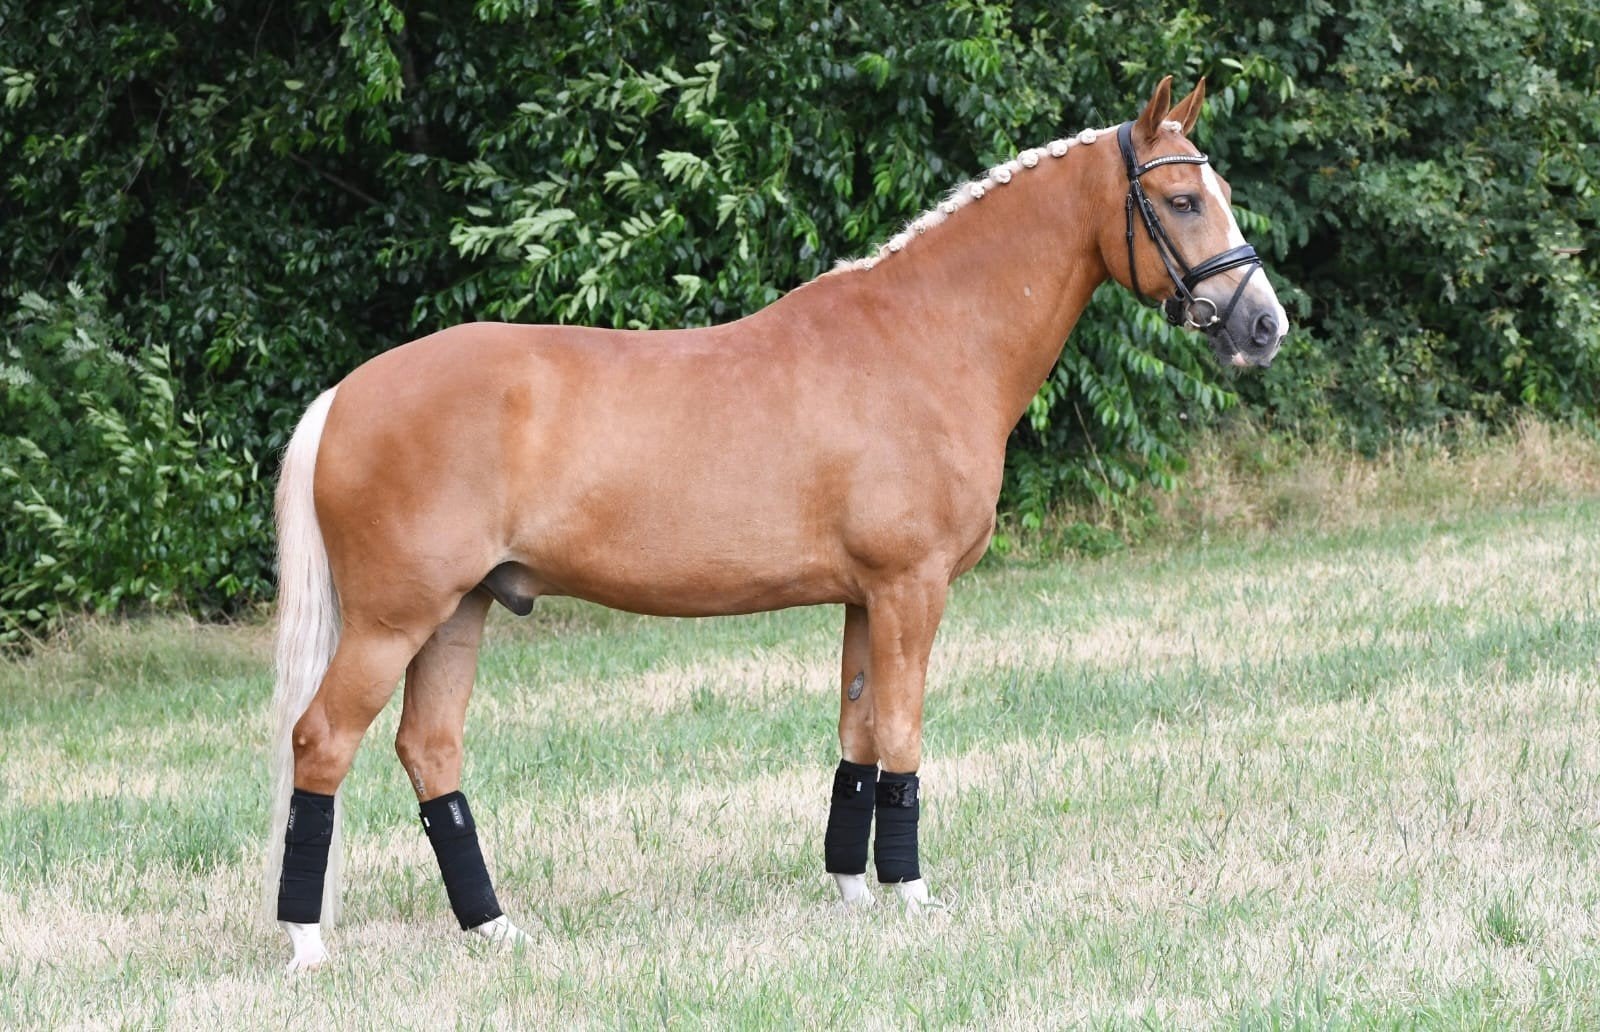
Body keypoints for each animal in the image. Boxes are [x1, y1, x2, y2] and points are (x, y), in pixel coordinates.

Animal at [264, 76, 1288, 971]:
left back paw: (496, 930)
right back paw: (308, 945)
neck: (925, 340)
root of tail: (345, 395)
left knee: (430, 754)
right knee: (322, 743)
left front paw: (854, 892)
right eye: (1185, 200)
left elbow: (859, 737)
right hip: (394, 620)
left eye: (1222, 194)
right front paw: (914, 898)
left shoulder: (866, 599)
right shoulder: (911, 587)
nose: (1264, 326)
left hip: (460, 613)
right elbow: (903, 733)